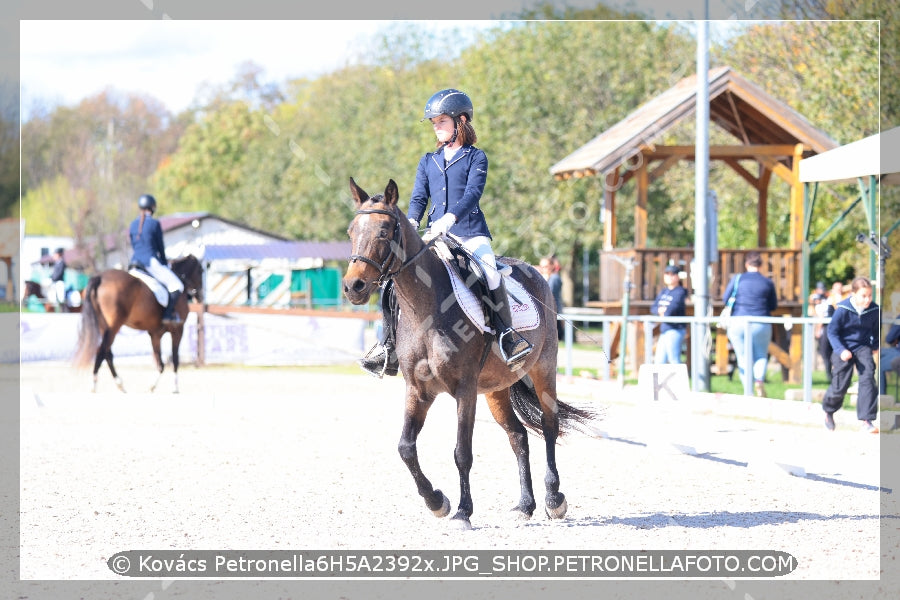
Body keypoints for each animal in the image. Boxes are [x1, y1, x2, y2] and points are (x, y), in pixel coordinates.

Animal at [74, 255, 204, 396]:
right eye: (201, 271)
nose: (200, 297)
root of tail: (100, 277)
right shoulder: (178, 330)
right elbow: (175, 359)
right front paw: (175, 388)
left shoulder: (155, 334)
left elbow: (160, 363)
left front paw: (152, 387)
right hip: (114, 326)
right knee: (101, 351)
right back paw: (94, 386)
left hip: (104, 327)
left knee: (107, 354)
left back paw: (120, 385)